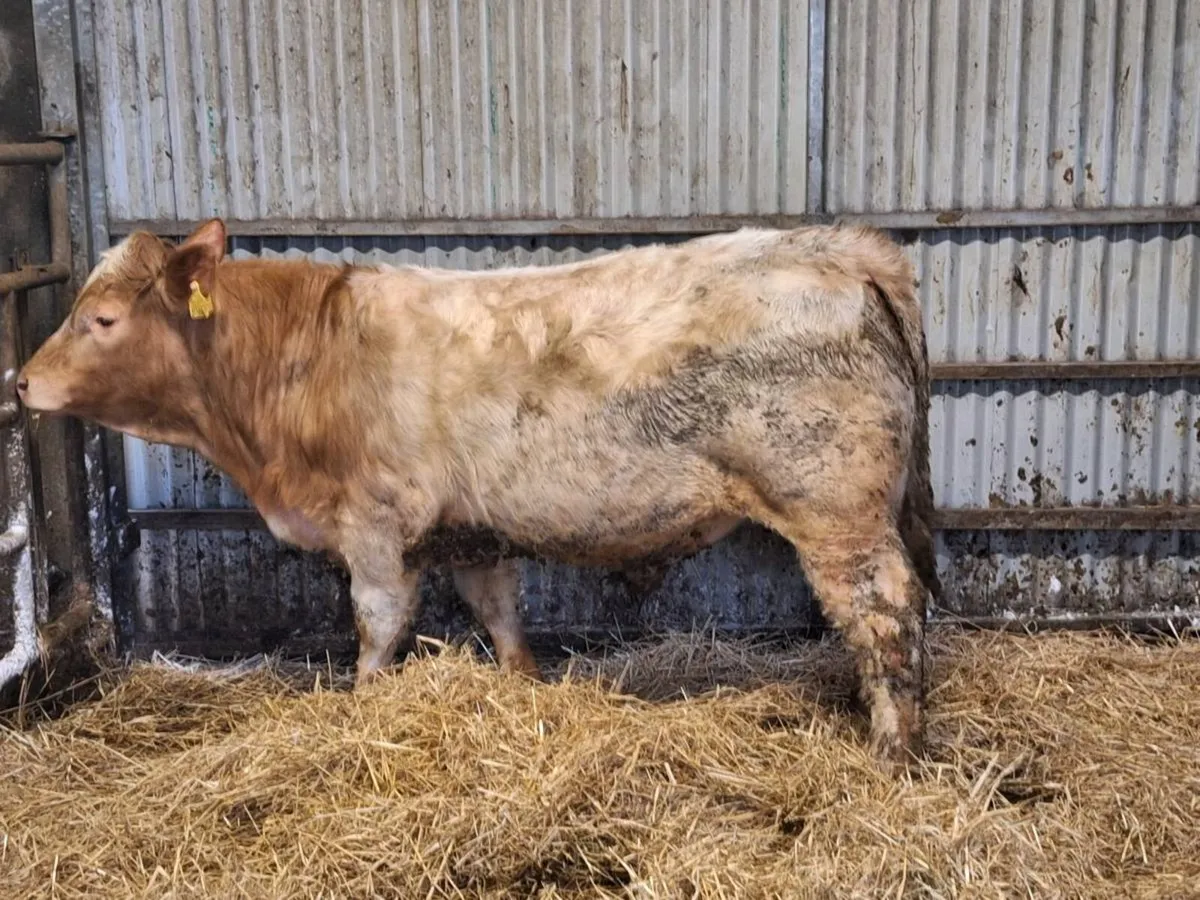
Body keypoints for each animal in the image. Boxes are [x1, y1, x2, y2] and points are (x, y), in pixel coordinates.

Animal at [18, 220, 939, 762]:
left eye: (101, 319)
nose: (20, 382)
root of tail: (841, 246)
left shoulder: (375, 527)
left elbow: (377, 628)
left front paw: (362, 713)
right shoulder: (473, 533)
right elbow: (501, 620)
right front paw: (526, 693)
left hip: (836, 510)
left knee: (886, 612)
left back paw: (893, 752)